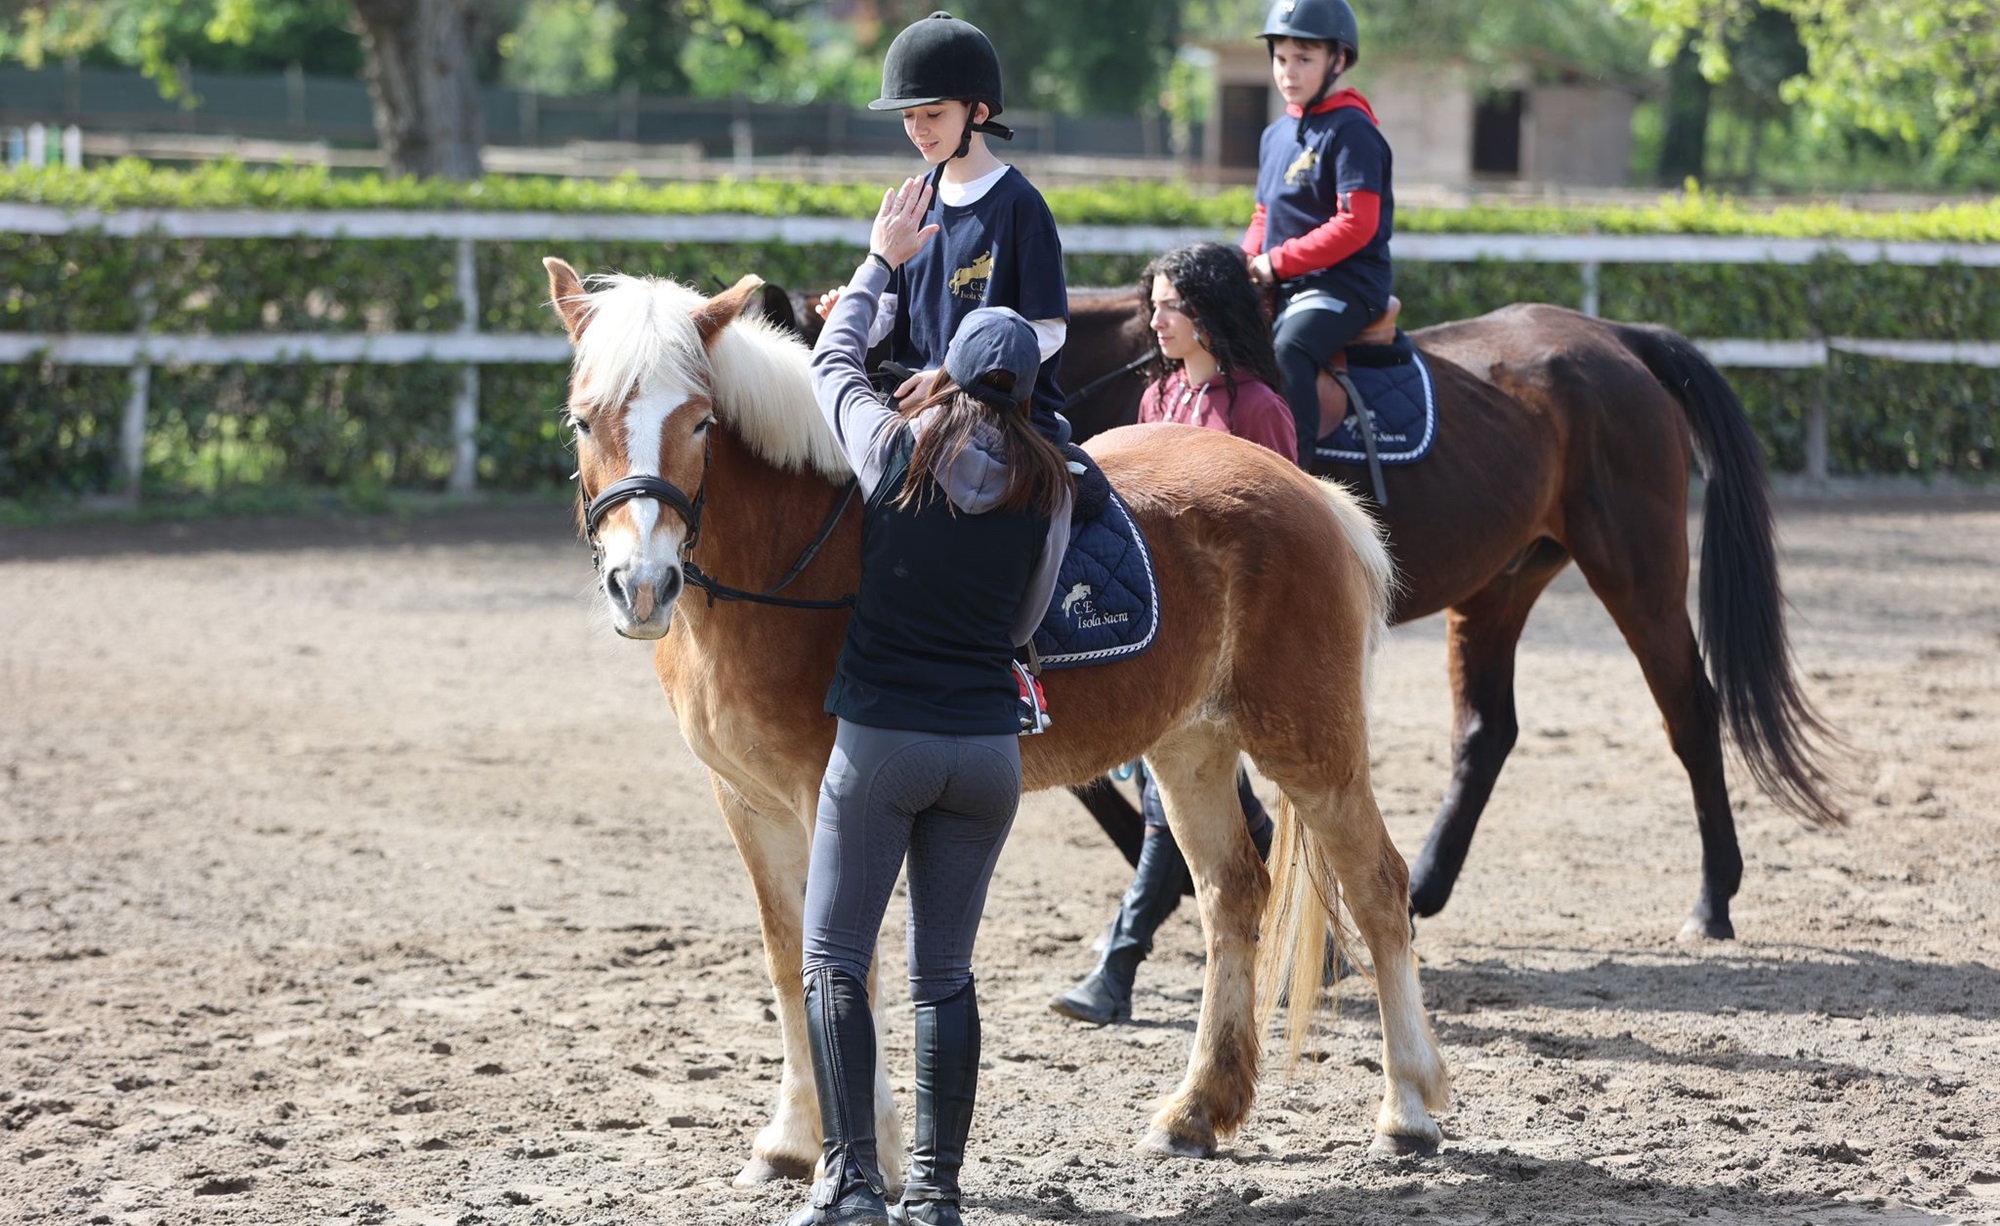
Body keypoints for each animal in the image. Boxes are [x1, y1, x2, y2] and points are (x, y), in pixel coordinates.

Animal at [540, 260, 1448, 1184]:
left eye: (699, 422)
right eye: (582, 420)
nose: (641, 586)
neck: (792, 561)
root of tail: (1309, 491)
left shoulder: (836, 792)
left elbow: (850, 958)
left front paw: (867, 1152)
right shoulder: (748, 803)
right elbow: (789, 954)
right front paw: (792, 1140)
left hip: (1310, 743)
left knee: (1378, 889)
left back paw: (1407, 1109)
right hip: (1191, 746)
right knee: (1233, 895)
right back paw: (1196, 1112)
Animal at [1064, 286, 1840, 936]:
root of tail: (1616, 337)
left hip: (1637, 573)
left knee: (1690, 713)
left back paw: (1712, 901)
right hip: (1501, 585)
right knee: (1487, 731)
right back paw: (1423, 888)